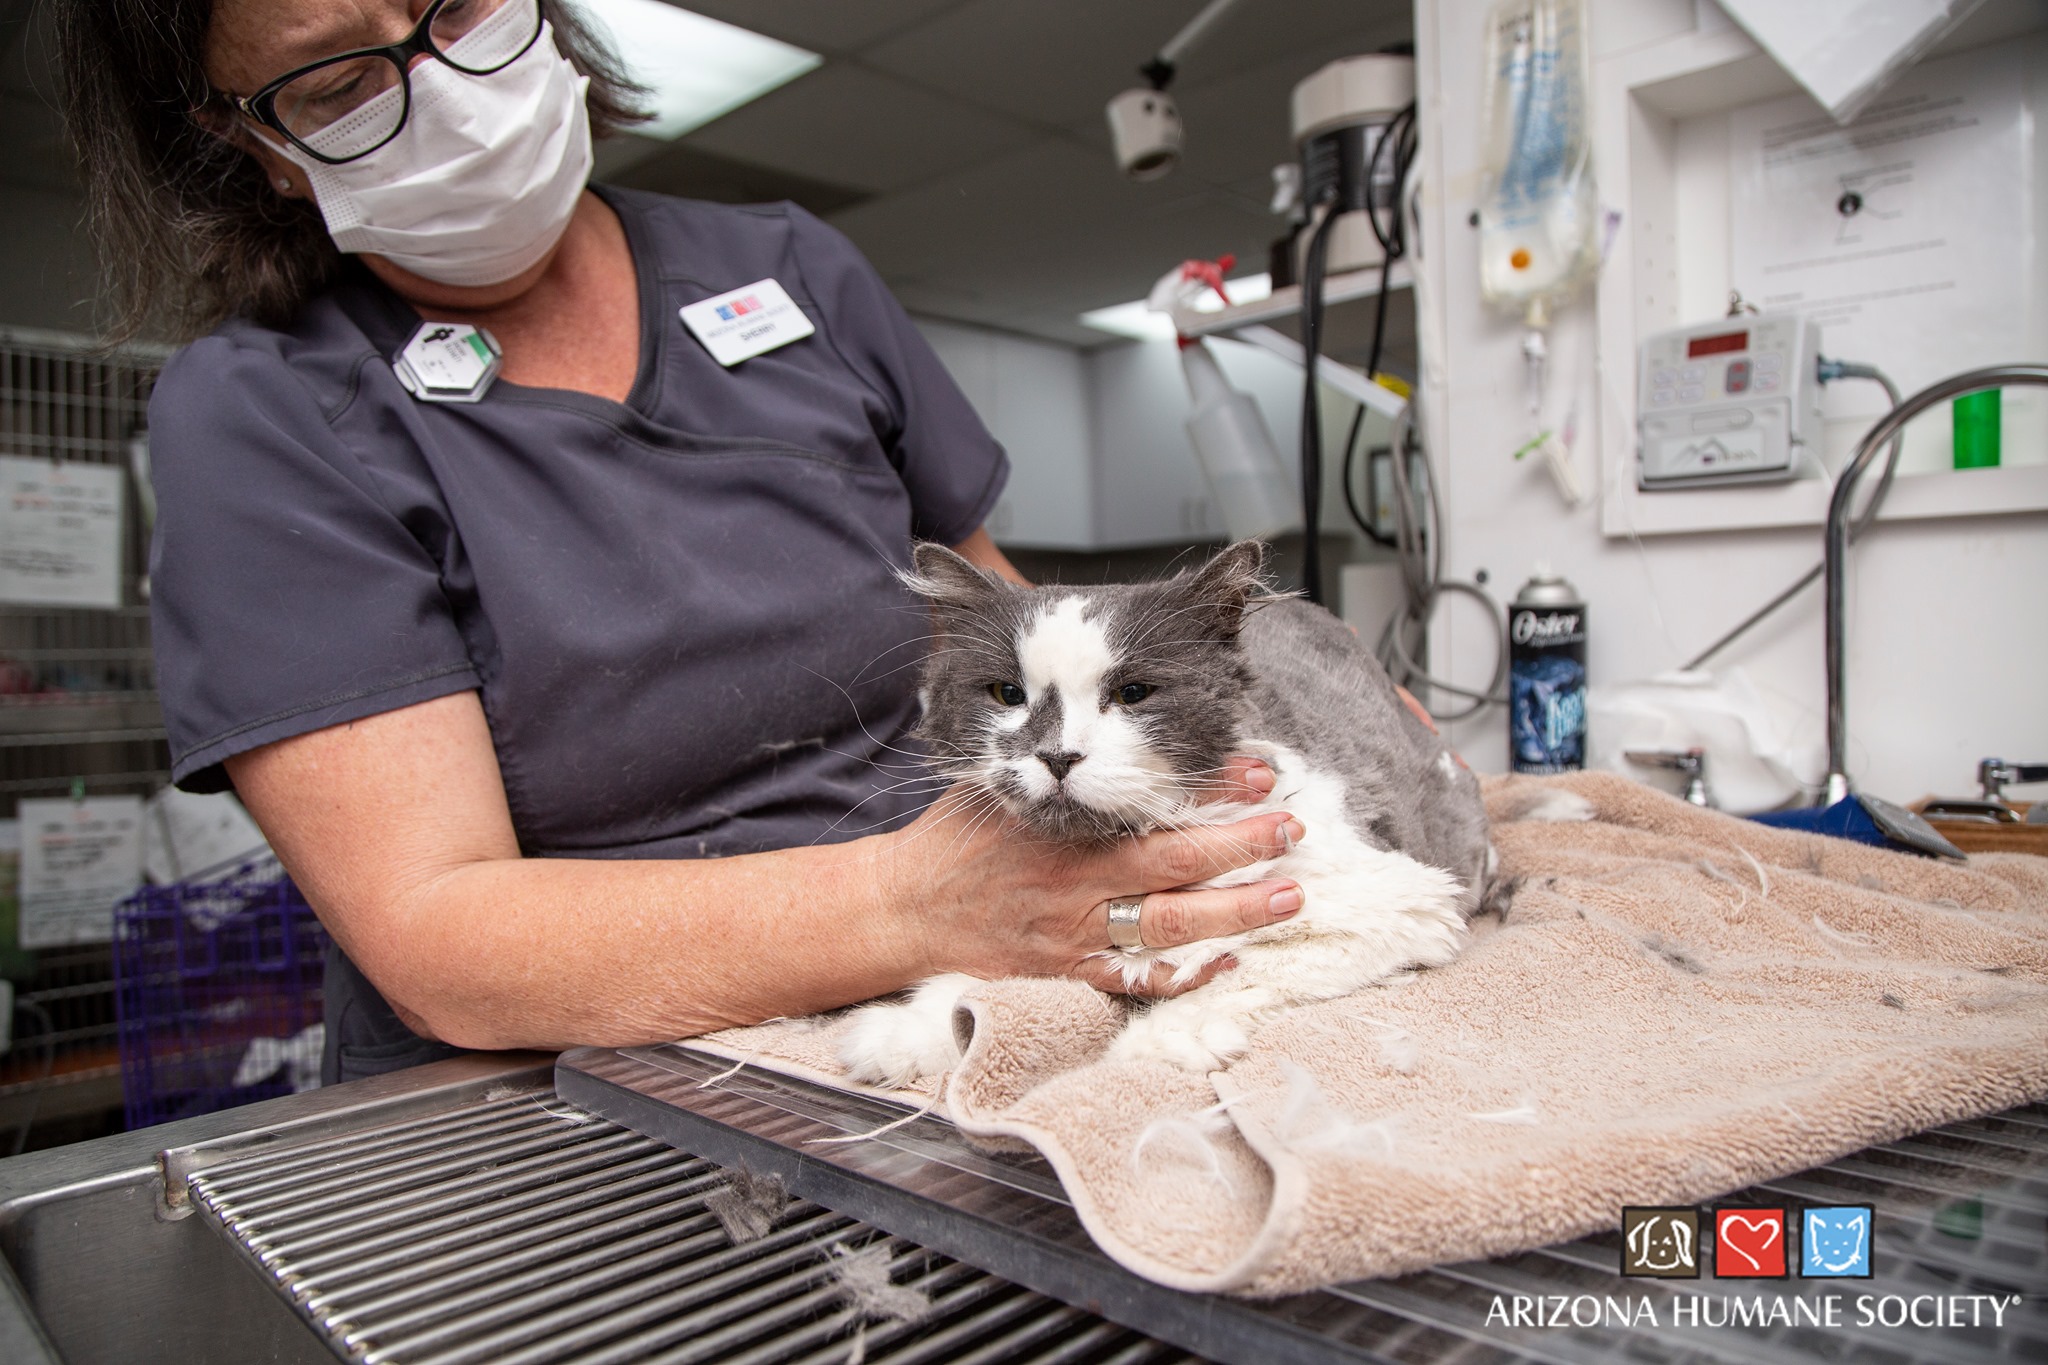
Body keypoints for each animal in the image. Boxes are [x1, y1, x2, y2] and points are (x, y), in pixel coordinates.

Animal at [839, 540, 1499, 1080]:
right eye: (1007, 694)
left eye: (1133, 694)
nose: (1058, 756)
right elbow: (965, 988)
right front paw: (902, 1038)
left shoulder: (1398, 908)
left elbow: (1233, 972)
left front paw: (1156, 1044)